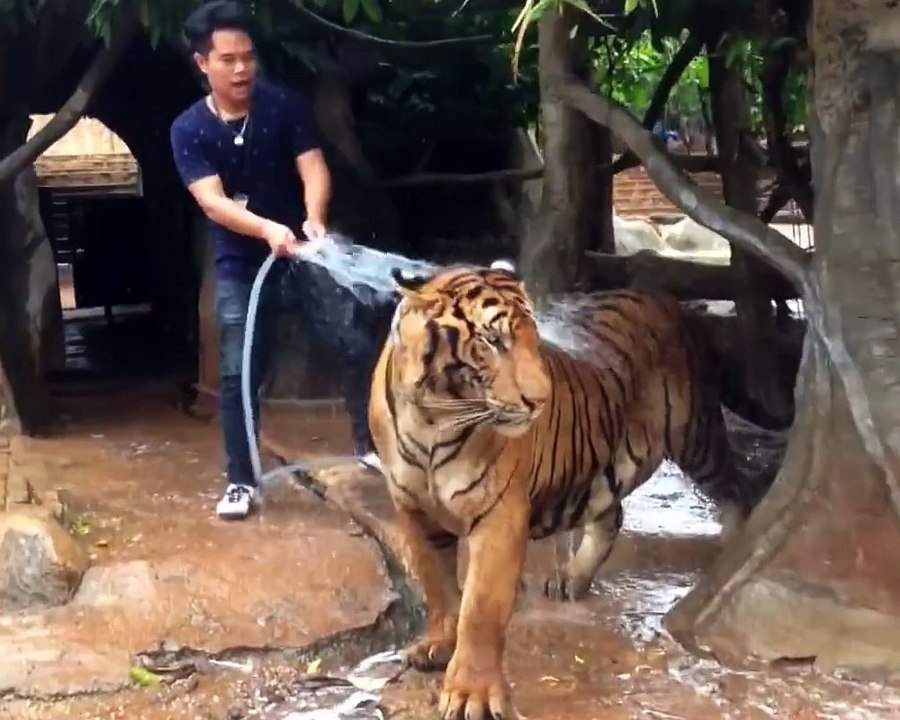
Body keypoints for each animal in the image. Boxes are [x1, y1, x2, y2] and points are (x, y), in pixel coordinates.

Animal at [367, 259, 765, 720]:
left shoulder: (499, 513)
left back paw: (734, 547)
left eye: (531, 339)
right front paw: (437, 645)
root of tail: (659, 296)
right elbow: (437, 585)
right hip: (607, 464)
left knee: (736, 488)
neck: (433, 419)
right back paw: (573, 578)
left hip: (695, 435)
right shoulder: (412, 509)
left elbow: (480, 609)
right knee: (613, 514)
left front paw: (472, 695)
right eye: (492, 341)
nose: (540, 400)